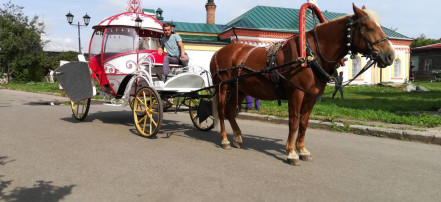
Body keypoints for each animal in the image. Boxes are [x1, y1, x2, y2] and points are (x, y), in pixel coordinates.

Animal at [208, 4, 394, 166]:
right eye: (368, 27)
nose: (390, 55)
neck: (310, 56)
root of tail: (219, 52)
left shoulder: (311, 96)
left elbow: (304, 123)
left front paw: (302, 150)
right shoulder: (296, 94)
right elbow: (293, 122)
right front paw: (291, 153)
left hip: (239, 89)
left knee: (230, 112)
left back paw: (237, 137)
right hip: (222, 86)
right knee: (222, 111)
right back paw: (224, 140)